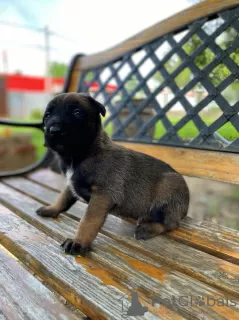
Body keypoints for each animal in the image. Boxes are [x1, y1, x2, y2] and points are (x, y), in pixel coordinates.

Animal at [37, 92, 189, 255]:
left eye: (77, 112)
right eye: (47, 115)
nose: (54, 130)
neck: (80, 154)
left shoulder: (102, 196)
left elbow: (88, 221)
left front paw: (79, 242)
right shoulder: (71, 184)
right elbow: (63, 198)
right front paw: (52, 209)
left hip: (168, 189)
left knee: (170, 223)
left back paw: (147, 227)